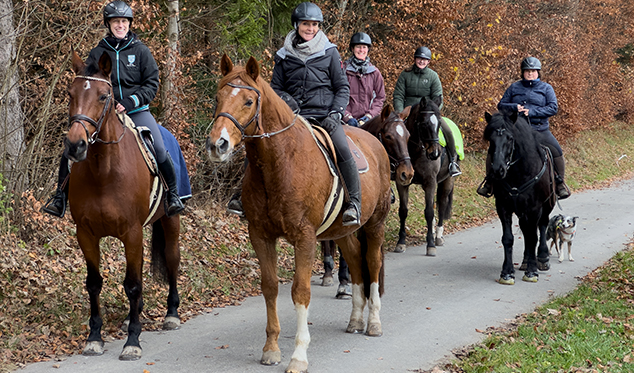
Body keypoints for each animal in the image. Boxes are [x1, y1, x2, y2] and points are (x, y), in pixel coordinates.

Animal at [63, 50, 180, 358]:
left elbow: (133, 285)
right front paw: (94, 337)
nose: (76, 145)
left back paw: (172, 314)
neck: (103, 171)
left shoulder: (131, 231)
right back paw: (132, 315)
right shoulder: (86, 234)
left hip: (171, 221)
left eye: (104, 96)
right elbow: (94, 284)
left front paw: (132, 341)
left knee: (172, 260)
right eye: (70, 93)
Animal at [206, 55, 390, 372]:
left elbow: (300, 291)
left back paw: (374, 323)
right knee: (356, 262)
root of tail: (375, 142)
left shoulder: (304, 238)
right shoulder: (260, 235)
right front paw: (271, 348)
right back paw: (355, 319)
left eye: (248, 101)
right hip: (342, 232)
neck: (279, 162)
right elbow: (269, 288)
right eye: (218, 98)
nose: (218, 145)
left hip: (375, 224)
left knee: (373, 262)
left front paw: (298, 356)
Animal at [396, 96, 454, 256]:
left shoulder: (430, 182)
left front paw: (431, 245)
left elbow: (429, 212)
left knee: (441, 205)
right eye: (423, 124)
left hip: (447, 181)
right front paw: (401, 243)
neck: (415, 152)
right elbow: (403, 211)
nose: (435, 154)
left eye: (439, 124)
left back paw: (438, 236)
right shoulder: (402, 183)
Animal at [482, 109, 552, 284]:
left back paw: (542, 258)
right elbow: (508, 238)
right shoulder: (503, 207)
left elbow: (533, 237)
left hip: (546, 206)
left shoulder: (534, 208)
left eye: (510, 138)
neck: (519, 173)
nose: (498, 170)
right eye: (490, 139)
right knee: (526, 230)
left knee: (541, 226)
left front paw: (532, 272)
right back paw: (526, 260)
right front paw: (507, 273)